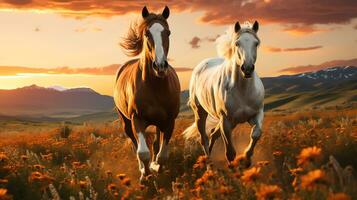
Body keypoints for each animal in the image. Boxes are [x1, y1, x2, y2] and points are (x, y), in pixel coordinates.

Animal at [113, 5, 181, 181]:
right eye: (146, 34)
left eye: (168, 32)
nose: (160, 66)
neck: (155, 86)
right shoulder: (137, 119)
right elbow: (142, 152)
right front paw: (145, 176)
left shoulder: (169, 121)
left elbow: (162, 154)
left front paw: (156, 167)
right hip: (126, 122)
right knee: (135, 144)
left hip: (159, 122)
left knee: (156, 143)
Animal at [185, 21, 262, 166]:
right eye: (237, 43)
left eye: (256, 43)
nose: (247, 68)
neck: (242, 90)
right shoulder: (226, 121)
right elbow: (230, 152)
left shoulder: (256, 114)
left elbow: (256, 133)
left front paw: (246, 158)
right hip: (200, 113)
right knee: (204, 138)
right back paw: (209, 164)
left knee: (213, 134)